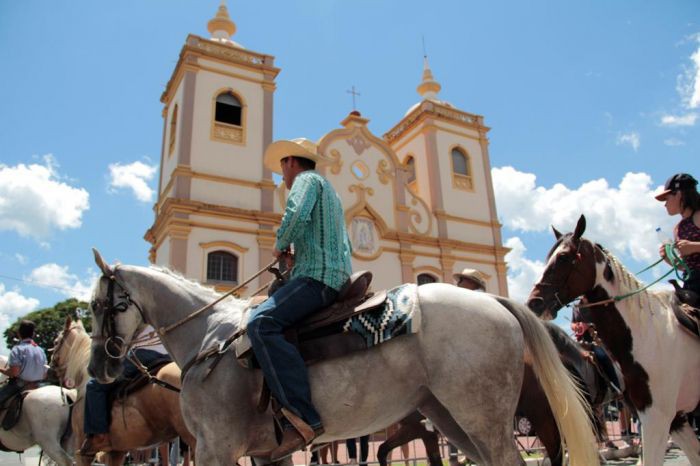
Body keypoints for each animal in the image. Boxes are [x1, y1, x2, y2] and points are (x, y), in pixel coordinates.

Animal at [85, 251, 600, 466]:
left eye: (98, 305)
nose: (98, 369)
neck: (207, 338)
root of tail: (494, 300)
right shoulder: (264, 454)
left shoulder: (216, 448)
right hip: (450, 418)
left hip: (483, 417)